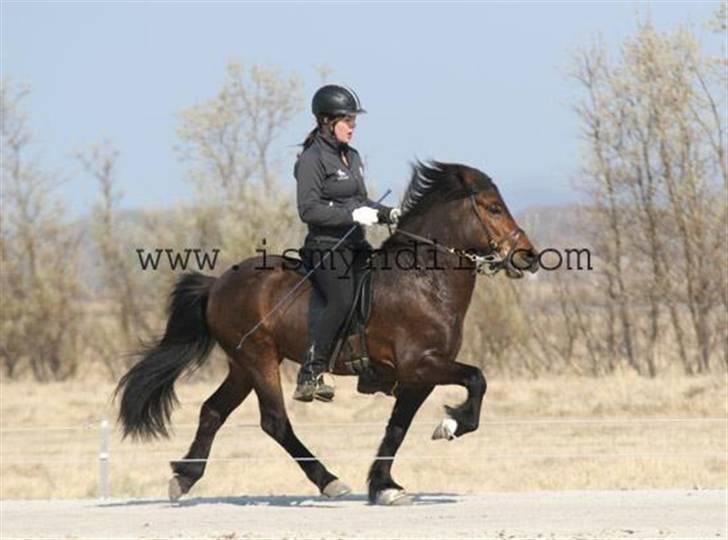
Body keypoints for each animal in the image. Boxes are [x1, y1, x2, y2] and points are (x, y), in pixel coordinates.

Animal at [116, 160, 536, 506]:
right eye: (493, 208)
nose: (529, 257)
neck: (423, 278)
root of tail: (217, 284)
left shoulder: (419, 377)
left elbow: (397, 428)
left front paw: (384, 485)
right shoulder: (421, 364)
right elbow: (477, 379)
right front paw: (450, 425)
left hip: (242, 365)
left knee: (213, 411)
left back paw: (184, 477)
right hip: (259, 358)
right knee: (275, 421)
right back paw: (329, 480)